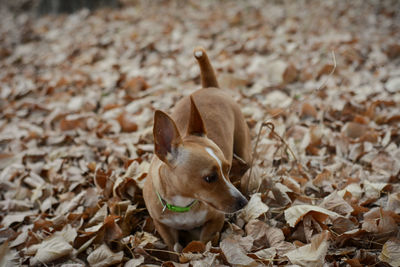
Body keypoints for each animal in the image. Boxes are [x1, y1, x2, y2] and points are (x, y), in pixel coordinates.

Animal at [143, 46, 250, 253]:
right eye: (209, 178)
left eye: (227, 170)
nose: (243, 202)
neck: (184, 204)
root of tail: (210, 88)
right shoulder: (163, 226)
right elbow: (174, 246)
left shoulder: (215, 220)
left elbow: (203, 241)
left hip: (243, 149)